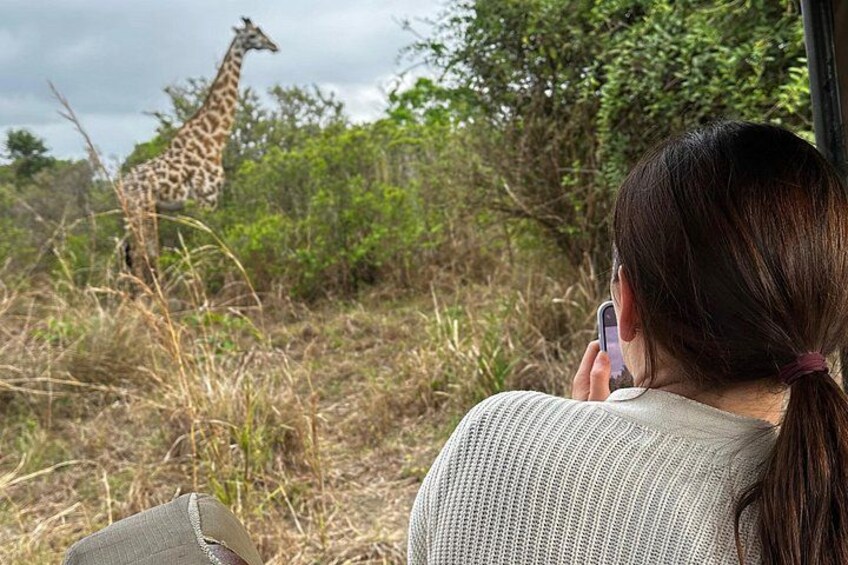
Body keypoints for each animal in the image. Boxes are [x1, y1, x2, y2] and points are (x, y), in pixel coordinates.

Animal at [120, 17, 278, 286]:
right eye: (254, 34)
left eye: (261, 31)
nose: (273, 45)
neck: (213, 140)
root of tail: (122, 186)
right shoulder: (208, 199)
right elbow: (208, 244)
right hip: (142, 210)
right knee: (142, 255)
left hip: (136, 213)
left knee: (133, 254)